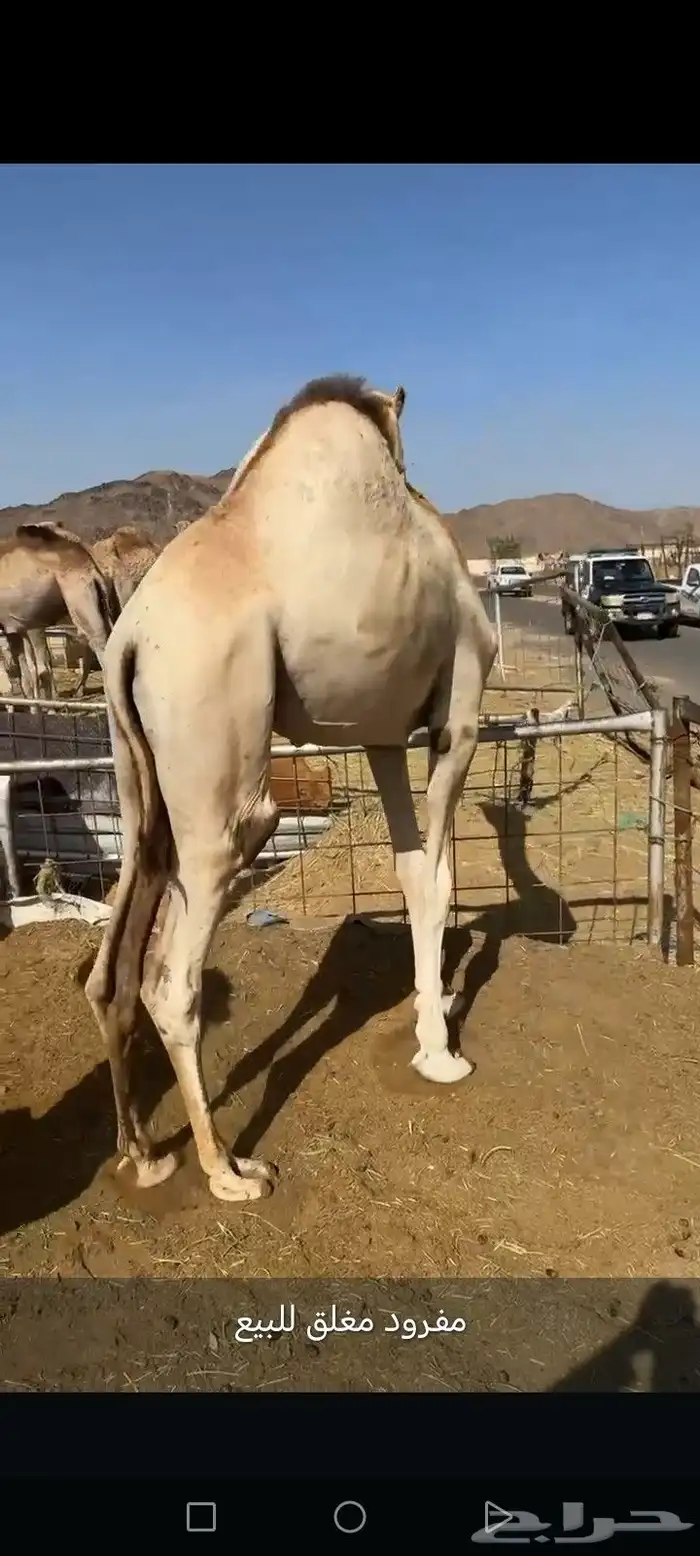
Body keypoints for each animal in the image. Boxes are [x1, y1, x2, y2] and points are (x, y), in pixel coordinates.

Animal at [0, 523, 115, 701]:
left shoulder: (30, 624)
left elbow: (41, 670)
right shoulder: (13, 627)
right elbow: (28, 676)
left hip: (78, 597)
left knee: (98, 642)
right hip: (99, 597)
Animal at [85, 374, 497, 1205]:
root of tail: (129, 639)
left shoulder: (381, 733)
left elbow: (410, 873)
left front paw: (428, 1017)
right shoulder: (460, 712)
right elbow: (439, 880)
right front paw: (442, 1053)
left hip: (141, 776)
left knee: (116, 960)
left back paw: (144, 1155)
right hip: (223, 763)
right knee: (174, 975)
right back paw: (228, 1170)